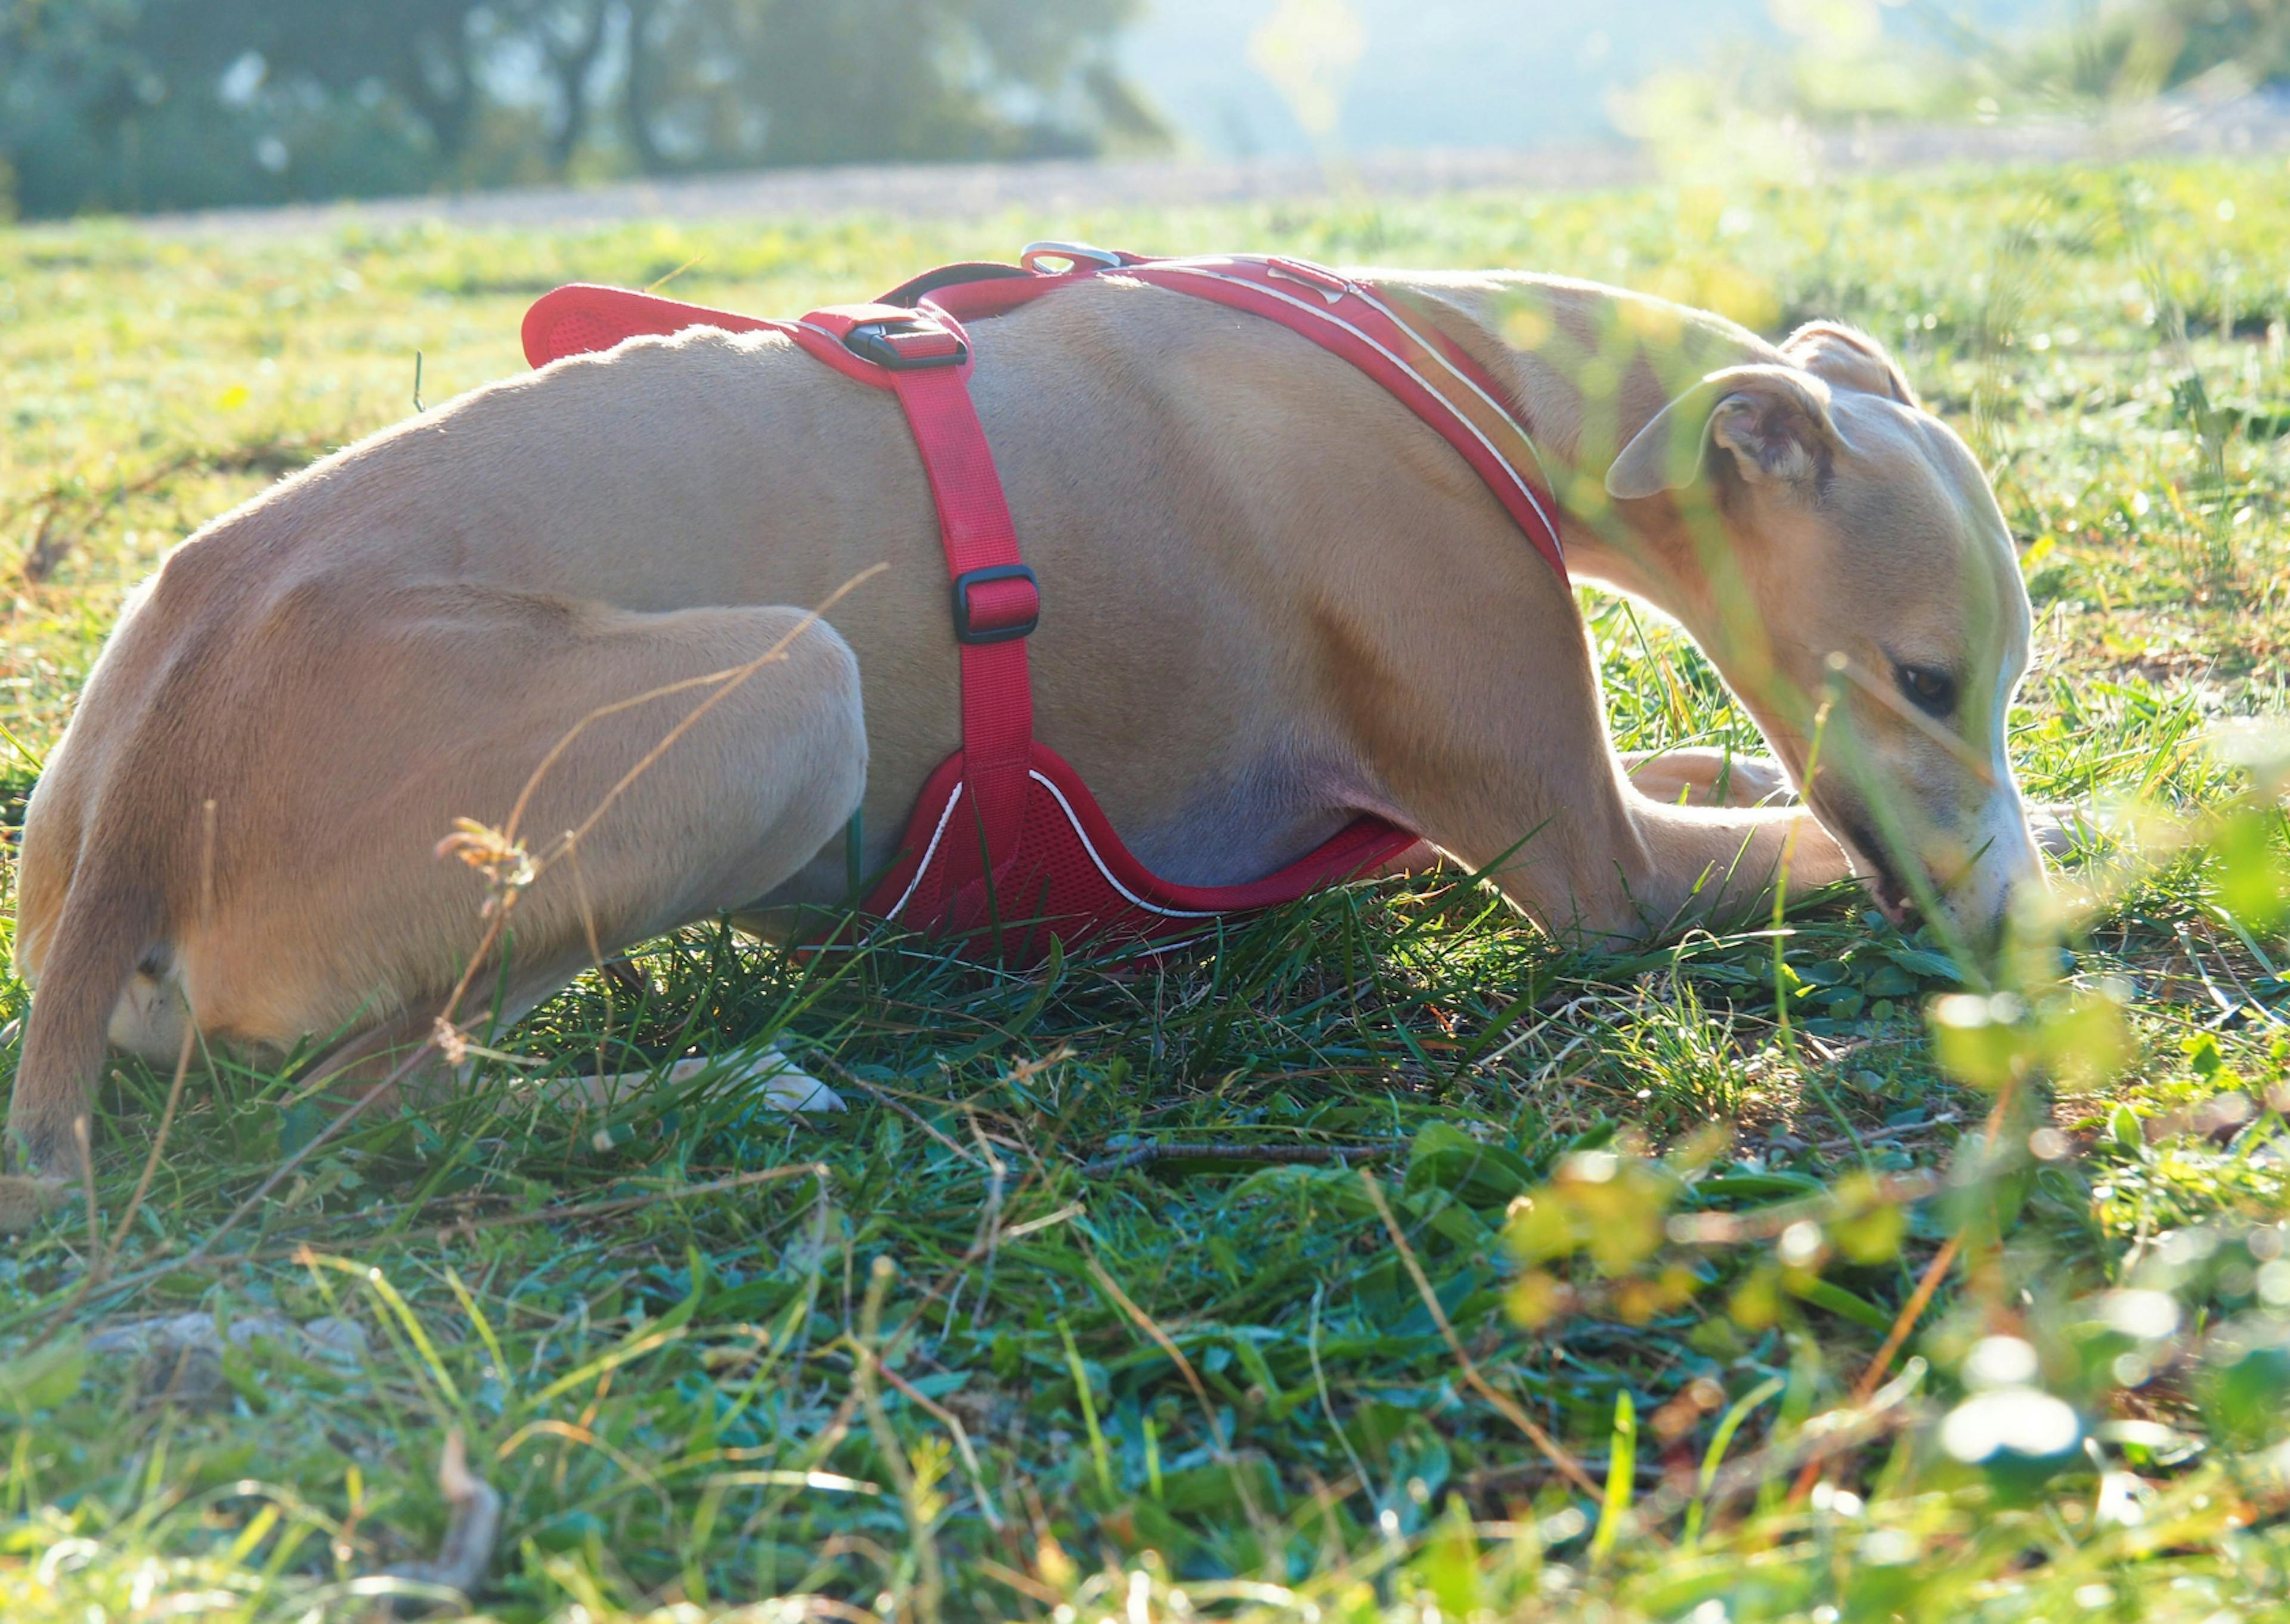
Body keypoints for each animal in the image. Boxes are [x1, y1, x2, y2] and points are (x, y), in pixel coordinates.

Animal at [0, 263, 2043, 1218]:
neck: (1469, 370)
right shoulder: (1598, 871)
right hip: (784, 688)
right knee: (368, 1098)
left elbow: (1733, 779)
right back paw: (739, 1085)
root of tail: (140, 800)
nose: (2005, 933)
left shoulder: (1601, 792)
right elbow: (1754, 845)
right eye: (1928, 678)